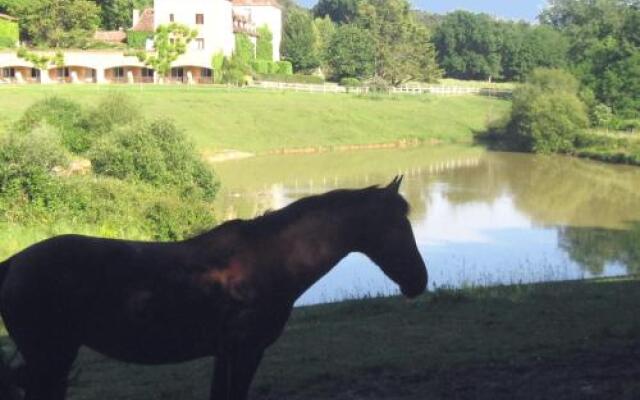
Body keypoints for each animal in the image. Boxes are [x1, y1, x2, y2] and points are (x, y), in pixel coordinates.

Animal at [1, 177, 430, 400]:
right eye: (398, 225)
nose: (419, 280)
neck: (269, 259)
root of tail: (12, 264)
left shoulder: (225, 354)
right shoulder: (246, 351)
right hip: (51, 359)